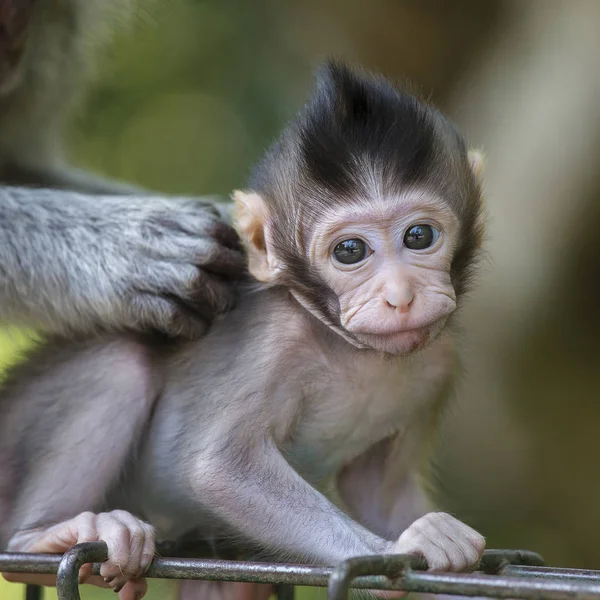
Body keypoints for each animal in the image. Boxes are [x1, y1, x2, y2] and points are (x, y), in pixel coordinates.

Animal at [0, 62, 488, 600]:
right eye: (350, 251)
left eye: (419, 236)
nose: (400, 296)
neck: (354, 351)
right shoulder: (277, 342)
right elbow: (220, 469)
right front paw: (400, 546)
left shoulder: (439, 365)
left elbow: (379, 491)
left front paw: (438, 542)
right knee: (118, 364)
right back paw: (42, 538)